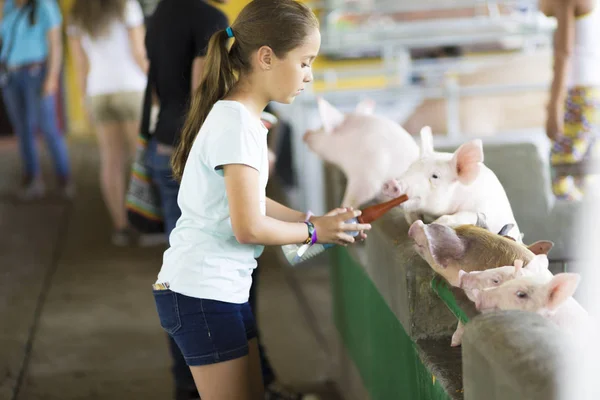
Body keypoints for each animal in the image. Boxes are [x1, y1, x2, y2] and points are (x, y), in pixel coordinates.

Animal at [384, 126, 520, 242]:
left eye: (435, 176)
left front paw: (430, 225)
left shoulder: (479, 210)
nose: (392, 183)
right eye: (410, 167)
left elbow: (451, 218)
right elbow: (411, 215)